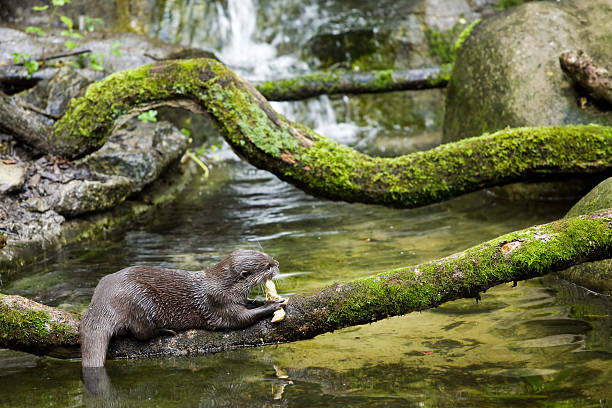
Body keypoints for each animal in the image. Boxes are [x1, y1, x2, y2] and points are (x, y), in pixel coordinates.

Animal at [79, 249, 286, 366]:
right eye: (267, 266)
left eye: (269, 257)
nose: (277, 263)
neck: (225, 286)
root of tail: (100, 302)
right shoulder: (218, 302)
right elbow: (241, 319)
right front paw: (273, 304)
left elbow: (249, 304)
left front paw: (263, 301)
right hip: (138, 299)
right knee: (141, 332)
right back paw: (164, 330)